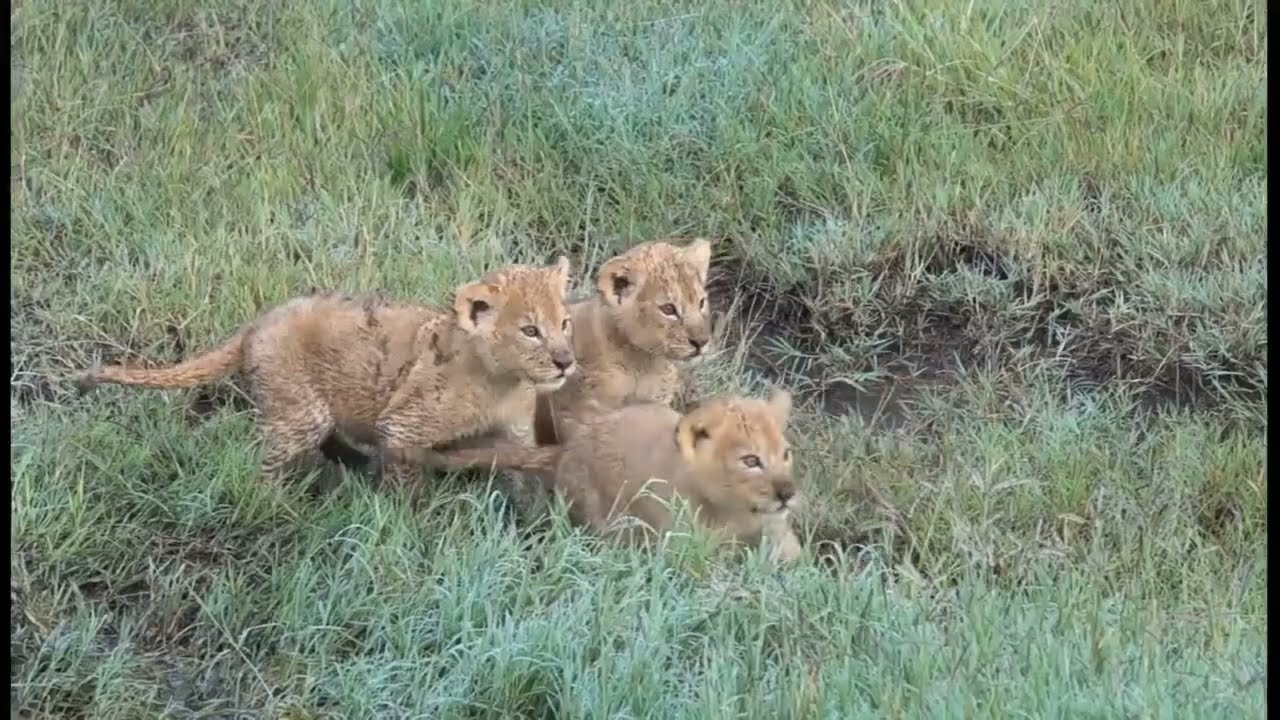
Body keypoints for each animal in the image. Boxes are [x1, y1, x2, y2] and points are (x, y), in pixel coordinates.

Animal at [77, 258, 576, 491]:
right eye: (531, 331)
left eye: (565, 323)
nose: (565, 361)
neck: (504, 381)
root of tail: (255, 326)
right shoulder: (403, 426)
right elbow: (407, 480)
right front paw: (414, 526)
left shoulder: (515, 434)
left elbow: (522, 476)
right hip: (299, 411)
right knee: (267, 461)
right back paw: (273, 502)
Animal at [422, 388, 804, 564]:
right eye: (751, 460)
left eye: (786, 454)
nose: (787, 493)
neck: (736, 513)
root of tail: (570, 446)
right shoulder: (682, 552)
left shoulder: (779, 536)